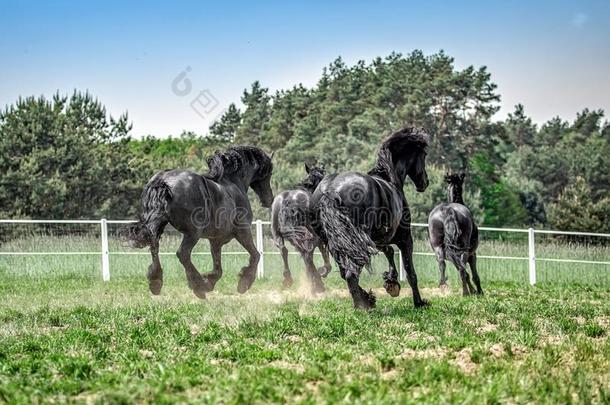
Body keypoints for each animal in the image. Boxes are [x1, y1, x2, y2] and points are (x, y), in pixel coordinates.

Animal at [123, 147, 274, 298]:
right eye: (269, 173)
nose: (269, 200)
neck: (233, 184)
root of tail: (163, 180)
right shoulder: (243, 231)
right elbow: (255, 255)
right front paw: (243, 283)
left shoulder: (216, 240)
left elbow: (218, 268)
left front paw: (210, 282)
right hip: (193, 233)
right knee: (182, 254)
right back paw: (198, 285)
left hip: (159, 224)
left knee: (154, 245)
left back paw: (156, 282)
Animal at [268, 163, 330, 292]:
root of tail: (288, 199)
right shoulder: (319, 238)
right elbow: (323, 255)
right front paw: (322, 272)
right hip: (310, 235)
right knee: (308, 254)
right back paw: (317, 284)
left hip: (278, 234)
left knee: (284, 251)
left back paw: (288, 279)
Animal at [312, 128, 430, 308]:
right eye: (423, 155)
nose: (425, 182)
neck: (389, 178)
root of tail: (331, 190)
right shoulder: (404, 238)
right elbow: (410, 272)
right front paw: (419, 302)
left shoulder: (378, 239)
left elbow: (389, 251)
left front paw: (391, 283)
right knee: (351, 273)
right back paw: (362, 306)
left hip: (335, 243)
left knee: (345, 272)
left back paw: (366, 300)